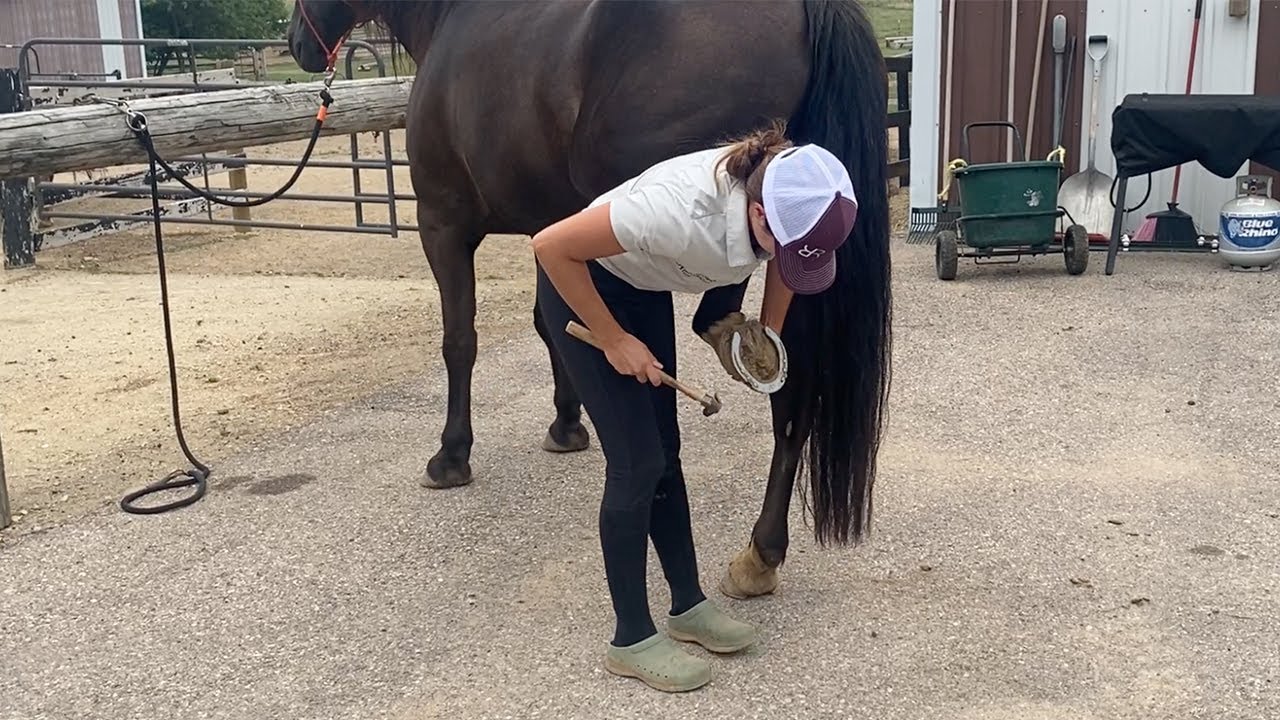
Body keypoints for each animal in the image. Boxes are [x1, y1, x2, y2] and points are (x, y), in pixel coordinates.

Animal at [286, 0, 892, 599]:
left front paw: (452, 454)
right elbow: (551, 323)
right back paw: (761, 553)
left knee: (734, 333)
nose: (298, 44)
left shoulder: (442, 224)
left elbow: (460, 341)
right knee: (792, 391)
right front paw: (567, 425)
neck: (446, 20)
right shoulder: (548, 222)